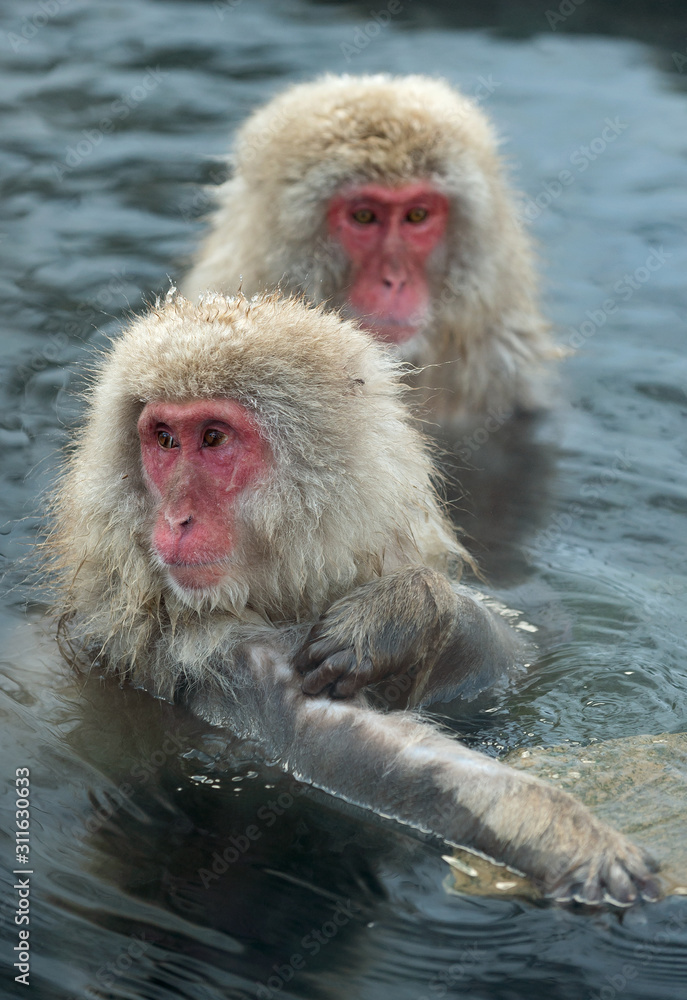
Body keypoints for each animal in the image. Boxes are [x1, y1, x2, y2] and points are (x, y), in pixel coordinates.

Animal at [45, 292, 656, 905]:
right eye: (165, 440)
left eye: (212, 438)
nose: (174, 519)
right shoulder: (210, 654)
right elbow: (367, 760)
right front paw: (567, 834)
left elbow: (519, 647)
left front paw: (403, 613)